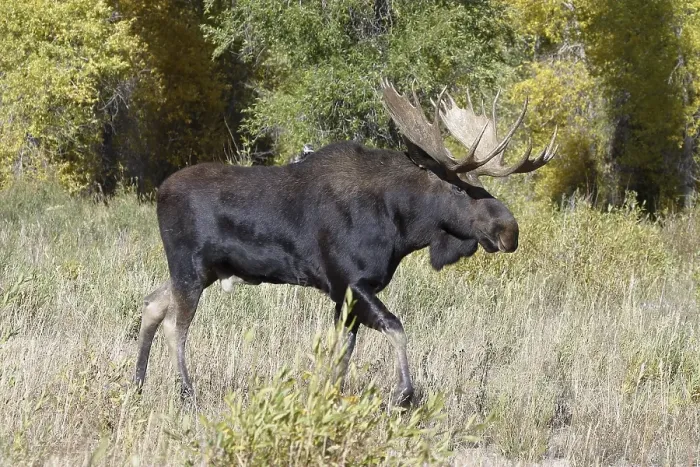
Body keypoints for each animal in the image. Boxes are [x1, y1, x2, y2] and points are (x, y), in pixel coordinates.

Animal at [133, 78, 558, 408]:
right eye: (457, 187)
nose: (509, 230)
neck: (400, 226)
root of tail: (160, 192)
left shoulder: (344, 296)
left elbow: (342, 355)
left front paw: (331, 398)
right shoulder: (350, 282)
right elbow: (396, 327)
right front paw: (404, 394)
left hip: (201, 271)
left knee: (152, 304)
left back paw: (138, 384)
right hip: (189, 267)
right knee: (175, 325)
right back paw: (185, 393)